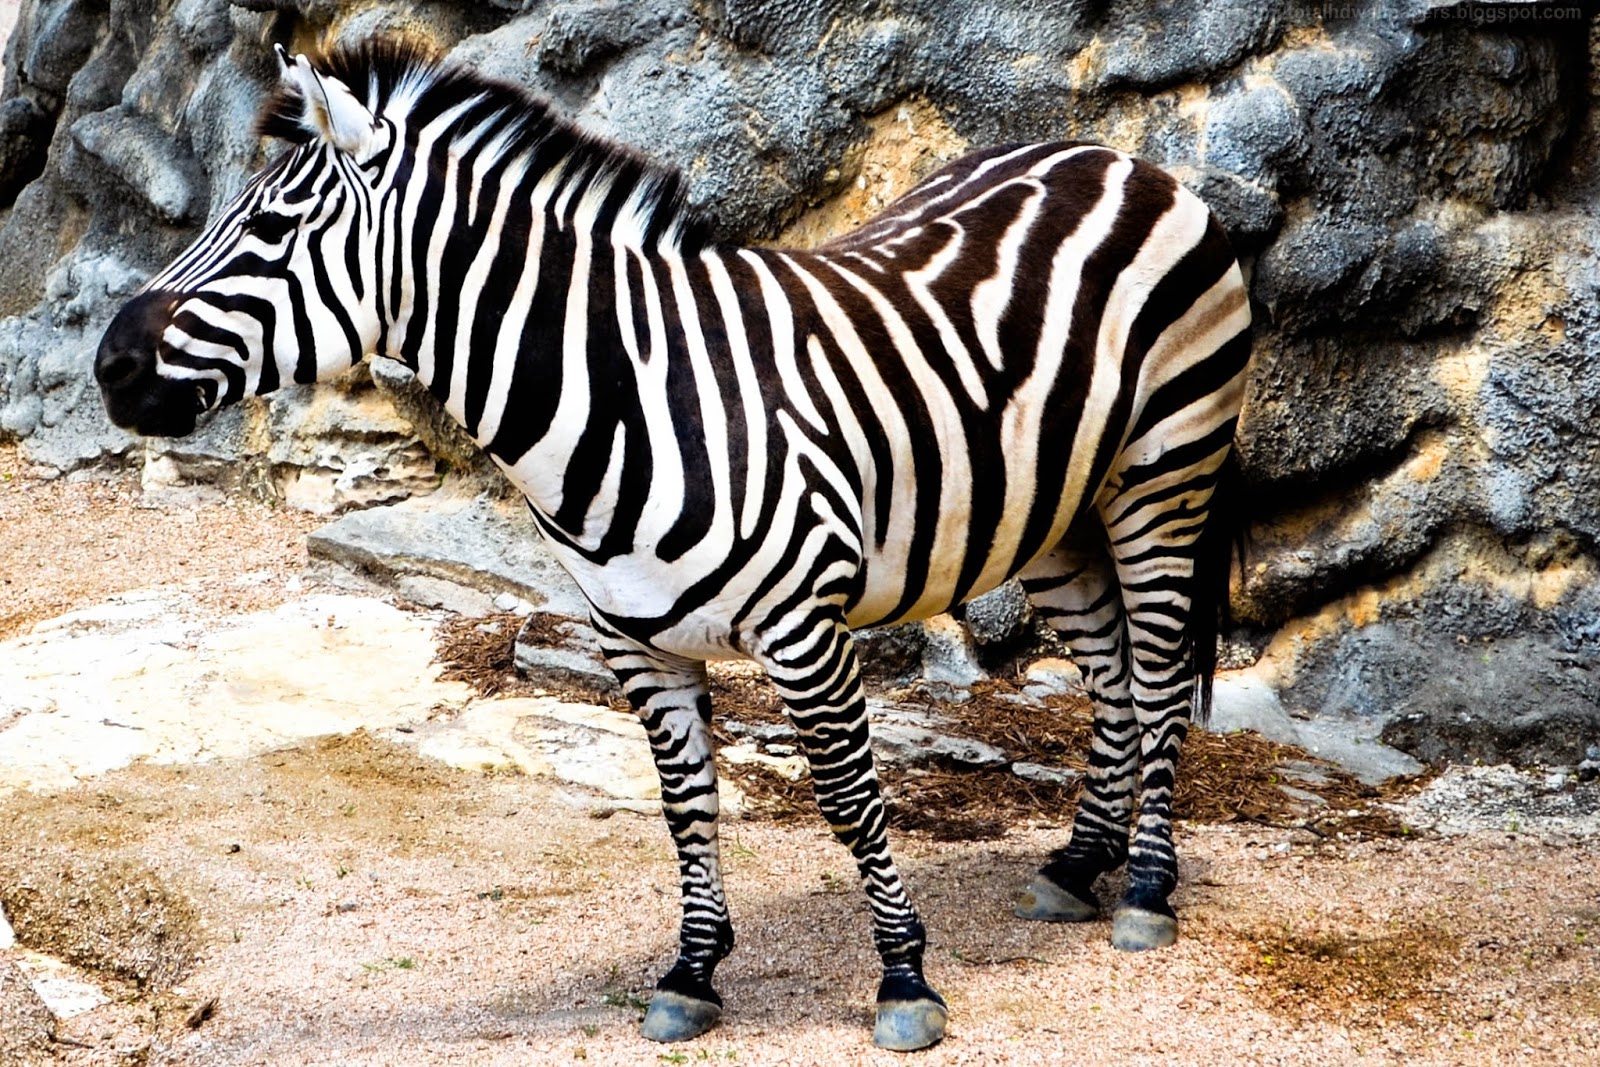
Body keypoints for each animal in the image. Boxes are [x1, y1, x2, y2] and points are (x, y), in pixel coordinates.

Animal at [95, 41, 1252, 1051]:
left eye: (271, 226)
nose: (108, 366)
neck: (626, 396)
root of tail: (1116, 156)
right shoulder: (636, 641)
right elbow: (685, 803)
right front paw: (693, 971)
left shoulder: (805, 630)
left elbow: (848, 798)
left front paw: (903, 979)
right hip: (1047, 512)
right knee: (1109, 675)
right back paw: (1078, 864)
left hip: (1164, 475)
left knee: (1155, 675)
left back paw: (1146, 888)